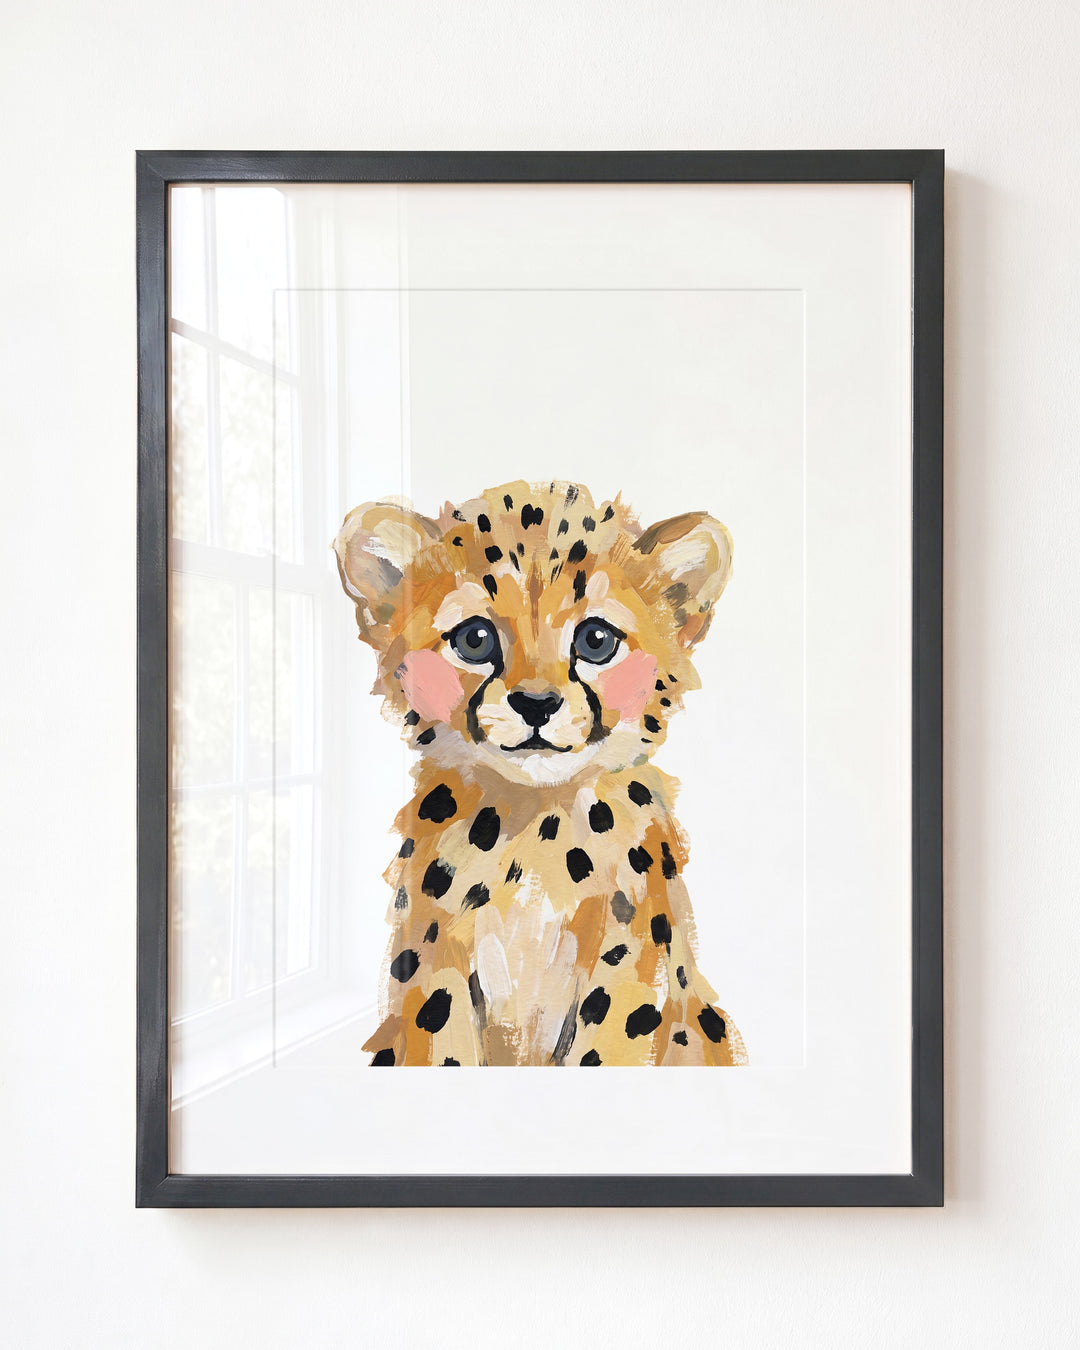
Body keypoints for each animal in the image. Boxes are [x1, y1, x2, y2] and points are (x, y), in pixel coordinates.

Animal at [333, 479, 748, 1066]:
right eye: (475, 639)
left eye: (596, 640)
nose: (535, 703)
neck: (535, 826)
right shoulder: (436, 963)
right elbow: (443, 1042)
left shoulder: (626, 968)